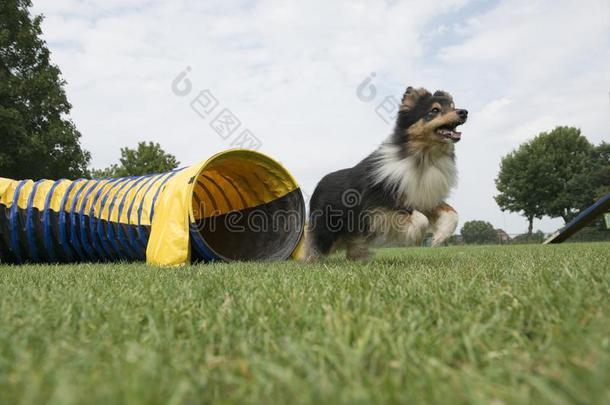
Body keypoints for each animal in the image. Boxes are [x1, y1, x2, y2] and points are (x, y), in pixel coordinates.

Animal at [302, 86, 468, 260]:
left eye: (452, 106)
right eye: (434, 110)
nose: (464, 112)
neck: (423, 158)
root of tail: (318, 185)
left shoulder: (424, 198)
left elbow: (452, 214)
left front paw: (438, 238)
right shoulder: (382, 205)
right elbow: (421, 219)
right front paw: (415, 236)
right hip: (327, 231)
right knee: (314, 249)